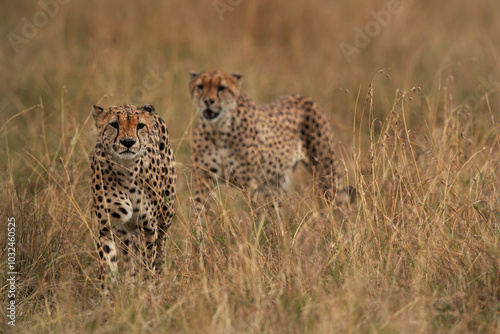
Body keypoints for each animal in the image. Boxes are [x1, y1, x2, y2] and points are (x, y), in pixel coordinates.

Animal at [91, 103, 176, 288]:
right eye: (114, 124)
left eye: (140, 126)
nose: (128, 142)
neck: (127, 169)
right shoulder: (106, 226)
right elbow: (108, 263)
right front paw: (109, 291)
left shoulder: (149, 226)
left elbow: (149, 260)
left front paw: (147, 287)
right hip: (125, 232)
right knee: (129, 253)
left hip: (165, 214)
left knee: (162, 245)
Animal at [189, 71, 354, 217]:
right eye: (200, 86)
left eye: (221, 87)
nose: (208, 101)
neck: (219, 130)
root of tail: (303, 97)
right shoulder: (203, 178)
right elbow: (199, 209)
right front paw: (199, 232)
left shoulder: (250, 182)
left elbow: (253, 212)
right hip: (275, 182)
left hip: (325, 170)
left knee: (339, 201)